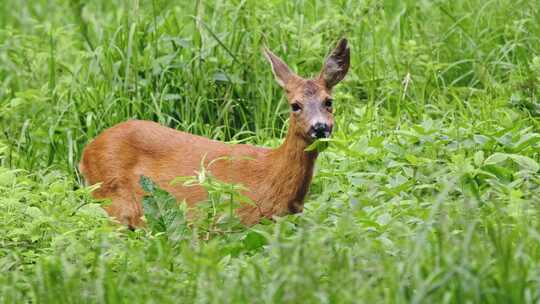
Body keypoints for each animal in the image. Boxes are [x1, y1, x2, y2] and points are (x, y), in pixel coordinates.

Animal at [79, 37, 350, 228]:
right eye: (295, 105)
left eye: (329, 101)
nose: (320, 127)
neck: (271, 177)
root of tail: (86, 152)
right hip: (114, 199)